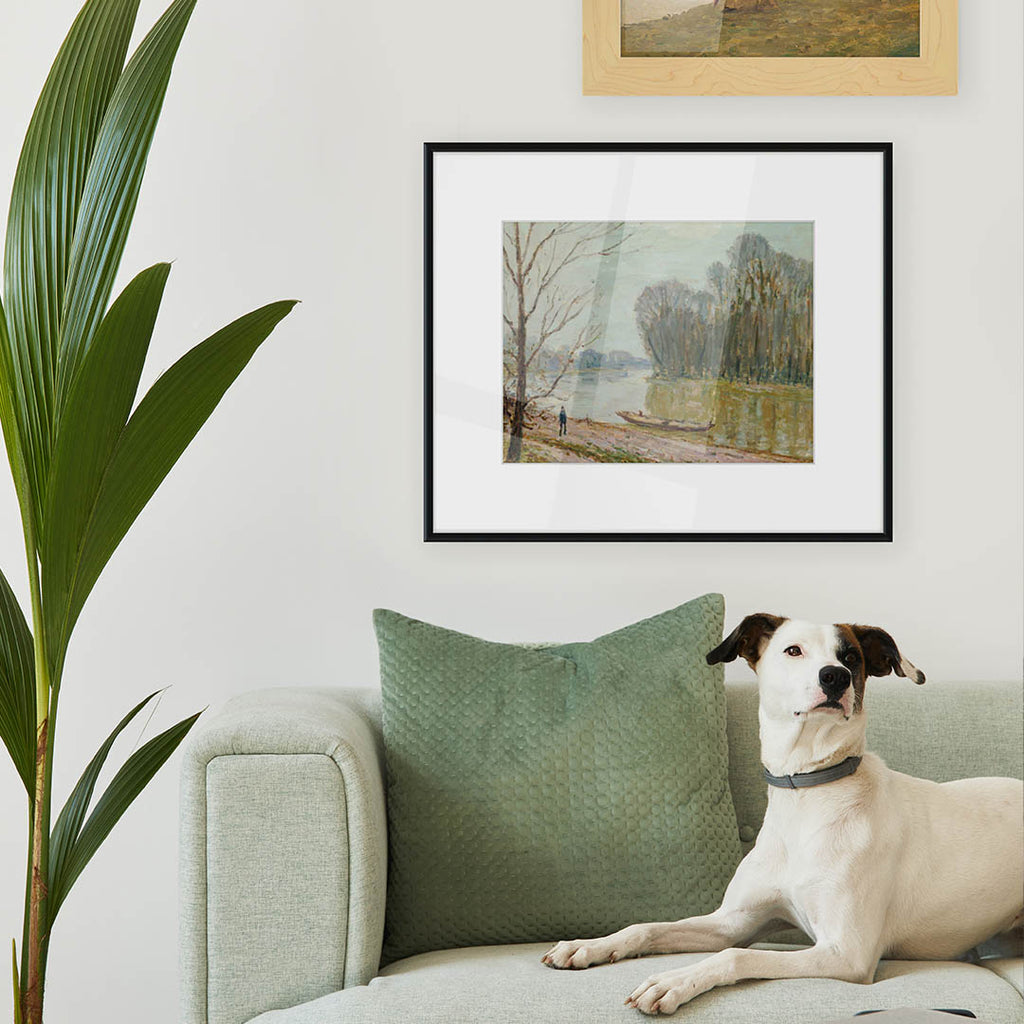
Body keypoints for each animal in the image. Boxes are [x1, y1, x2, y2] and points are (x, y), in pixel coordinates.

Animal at [544, 614, 1024, 1015]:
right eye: (793, 650)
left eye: (851, 656)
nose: (836, 676)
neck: (808, 797)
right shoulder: (732, 922)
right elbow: (647, 927)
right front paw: (587, 946)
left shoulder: (845, 953)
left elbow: (736, 955)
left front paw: (672, 982)